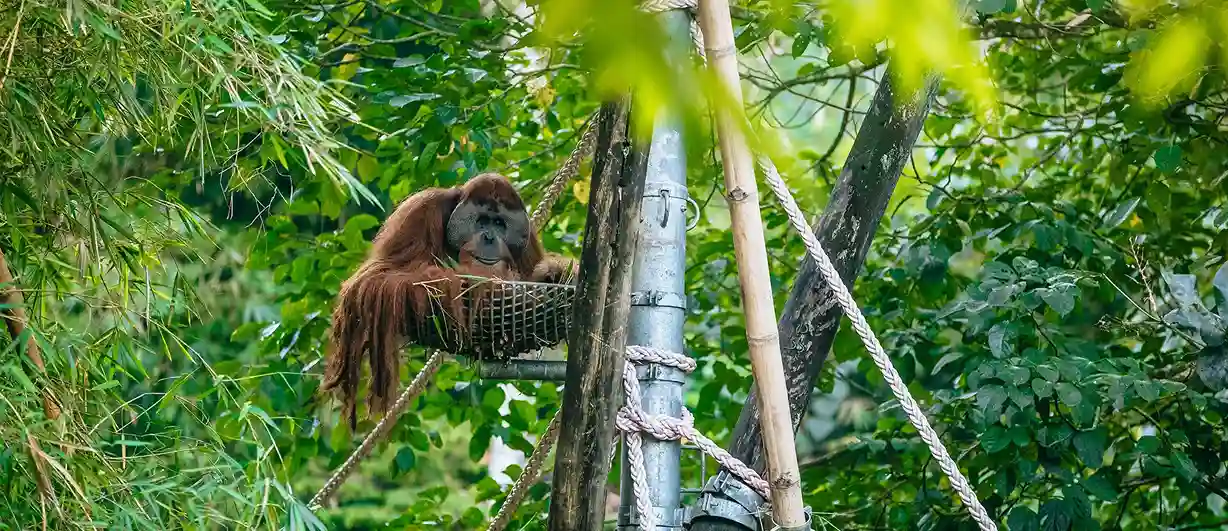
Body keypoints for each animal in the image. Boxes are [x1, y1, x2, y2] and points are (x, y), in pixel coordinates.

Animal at [321, 172, 577, 428]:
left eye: (499, 224)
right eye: (482, 221)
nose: (489, 237)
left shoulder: (528, 241)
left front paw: (557, 274)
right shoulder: (421, 210)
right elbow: (376, 278)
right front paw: (475, 283)